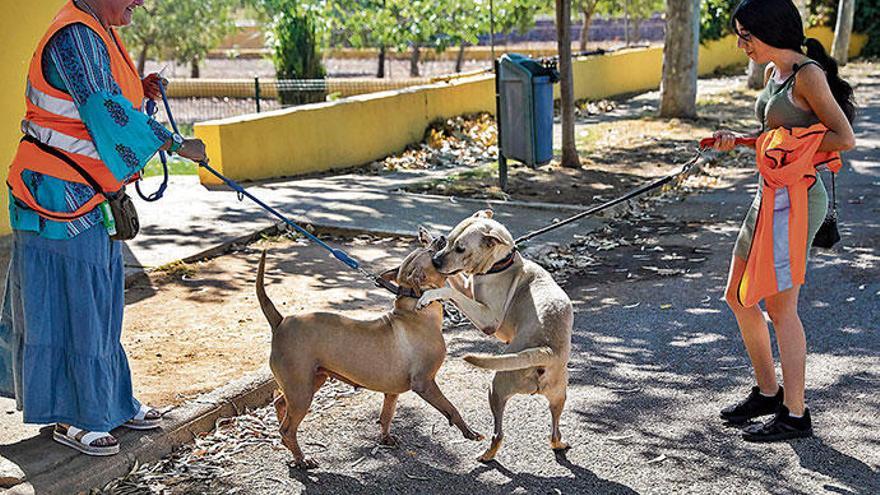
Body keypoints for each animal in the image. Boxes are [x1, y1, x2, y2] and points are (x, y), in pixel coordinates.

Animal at [256, 229, 482, 468]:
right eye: (431, 253)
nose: (440, 237)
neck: (415, 309)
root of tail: (280, 322)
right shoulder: (425, 383)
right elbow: (451, 408)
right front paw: (470, 432)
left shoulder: (392, 391)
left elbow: (386, 415)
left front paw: (385, 438)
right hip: (302, 391)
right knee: (288, 428)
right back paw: (301, 458)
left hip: (311, 381)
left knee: (280, 403)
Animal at [416, 211, 576, 464]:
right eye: (449, 240)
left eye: (461, 248)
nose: (435, 262)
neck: (501, 264)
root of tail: (546, 351)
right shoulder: (468, 285)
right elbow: (456, 279)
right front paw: (427, 237)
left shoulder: (487, 319)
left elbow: (450, 288)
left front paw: (430, 294)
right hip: (559, 397)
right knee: (554, 432)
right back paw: (559, 444)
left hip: (496, 388)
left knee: (498, 434)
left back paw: (486, 456)